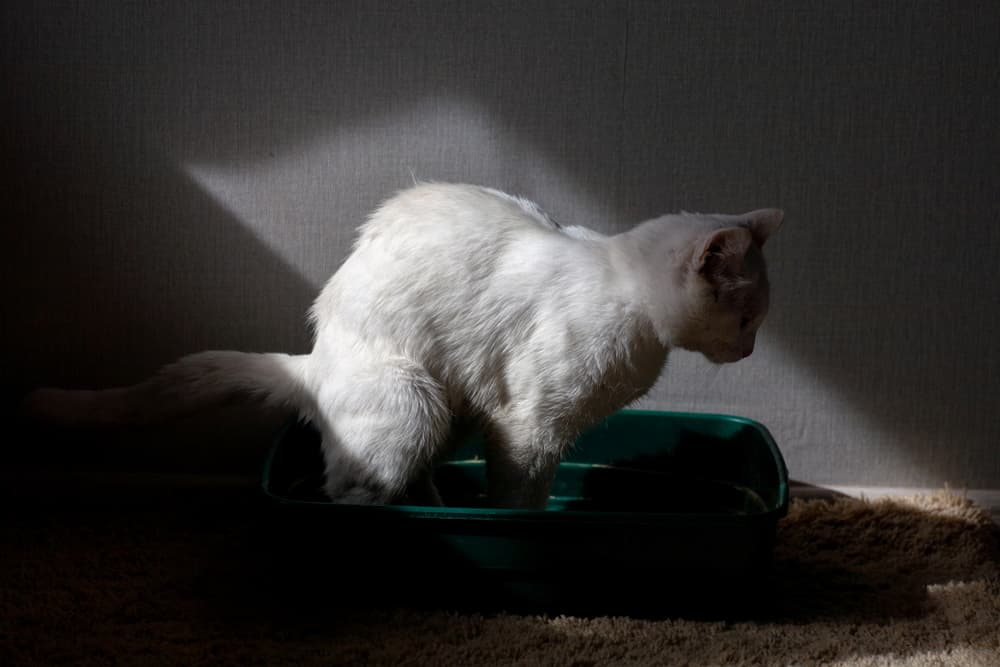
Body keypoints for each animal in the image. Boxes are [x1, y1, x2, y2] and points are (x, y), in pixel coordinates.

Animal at [25, 185, 780, 508]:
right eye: (747, 319)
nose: (750, 354)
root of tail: (313, 362)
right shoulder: (529, 429)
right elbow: (521, 502)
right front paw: (519, 525)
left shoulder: (516, 427)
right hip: (412, 404)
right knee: (347, 493)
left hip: (454, 414)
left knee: (406, 480)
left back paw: (438, 504)